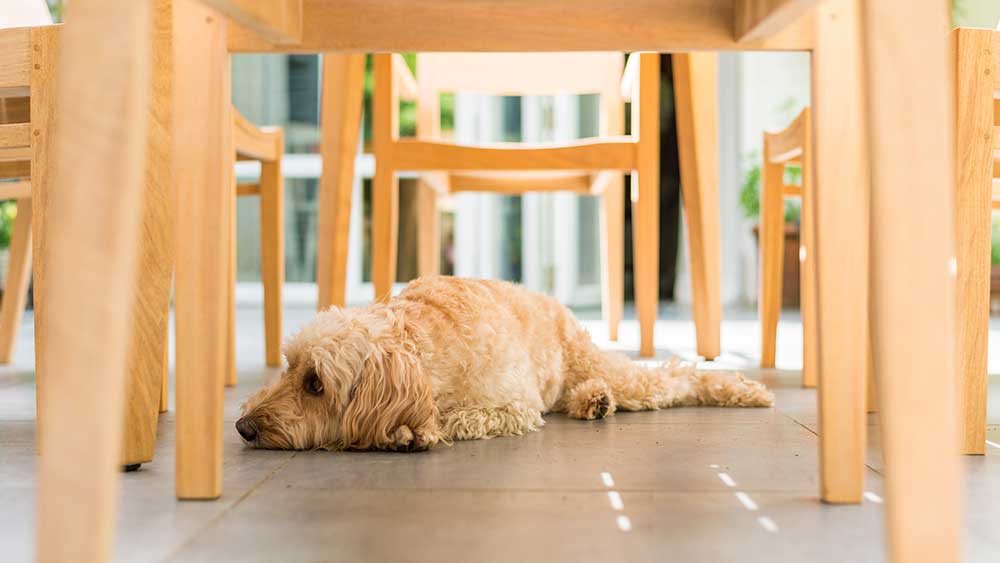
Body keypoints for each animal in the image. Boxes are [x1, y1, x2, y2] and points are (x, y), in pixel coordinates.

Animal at [234, 278, 772, 454]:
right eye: (288, 367)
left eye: (316, 384)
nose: (243, 427)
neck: (421, 347)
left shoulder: (512, 406)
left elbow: (456, 417)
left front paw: (409, 430)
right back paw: (593, 401)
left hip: (607, 368)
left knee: (677, 376)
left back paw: (743, 389)